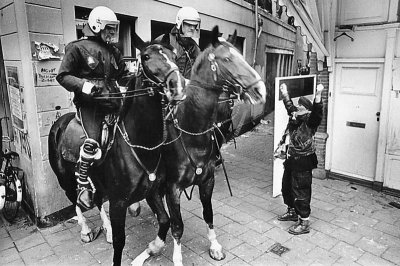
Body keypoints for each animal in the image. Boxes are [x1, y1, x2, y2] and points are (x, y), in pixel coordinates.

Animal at [47, 37, 184, 256]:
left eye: (174, 56)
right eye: (146, 56)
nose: (177, 85)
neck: (141, 145)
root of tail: (59, 123)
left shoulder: (152, 190)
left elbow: (164, 220)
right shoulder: (119, 199)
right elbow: (64, 75)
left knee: (96, 200)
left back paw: (107, 229)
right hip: (64, 177)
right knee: (75, 199)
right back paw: (86, 230)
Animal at [133, 25, 268, 266]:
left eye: (241, 55)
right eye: (226, 59)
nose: (260, 89)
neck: (192, 133)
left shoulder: (207, 181)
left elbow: (208, 213)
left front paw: (214, 245)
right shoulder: (173, 189)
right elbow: (177, 225)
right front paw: (177, 258)